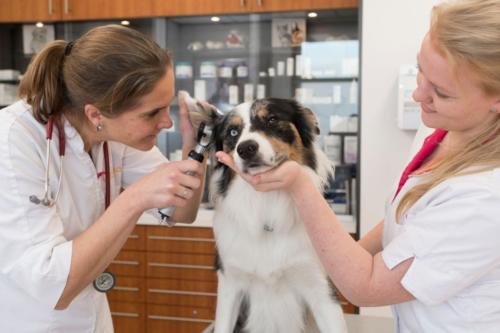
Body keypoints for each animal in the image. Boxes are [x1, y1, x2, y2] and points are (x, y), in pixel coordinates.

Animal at [185, 92, 348, 332]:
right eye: (232, 132)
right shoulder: (230, 283)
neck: (267, 201)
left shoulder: (320, 288)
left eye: (271, 119)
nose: (246, 149)